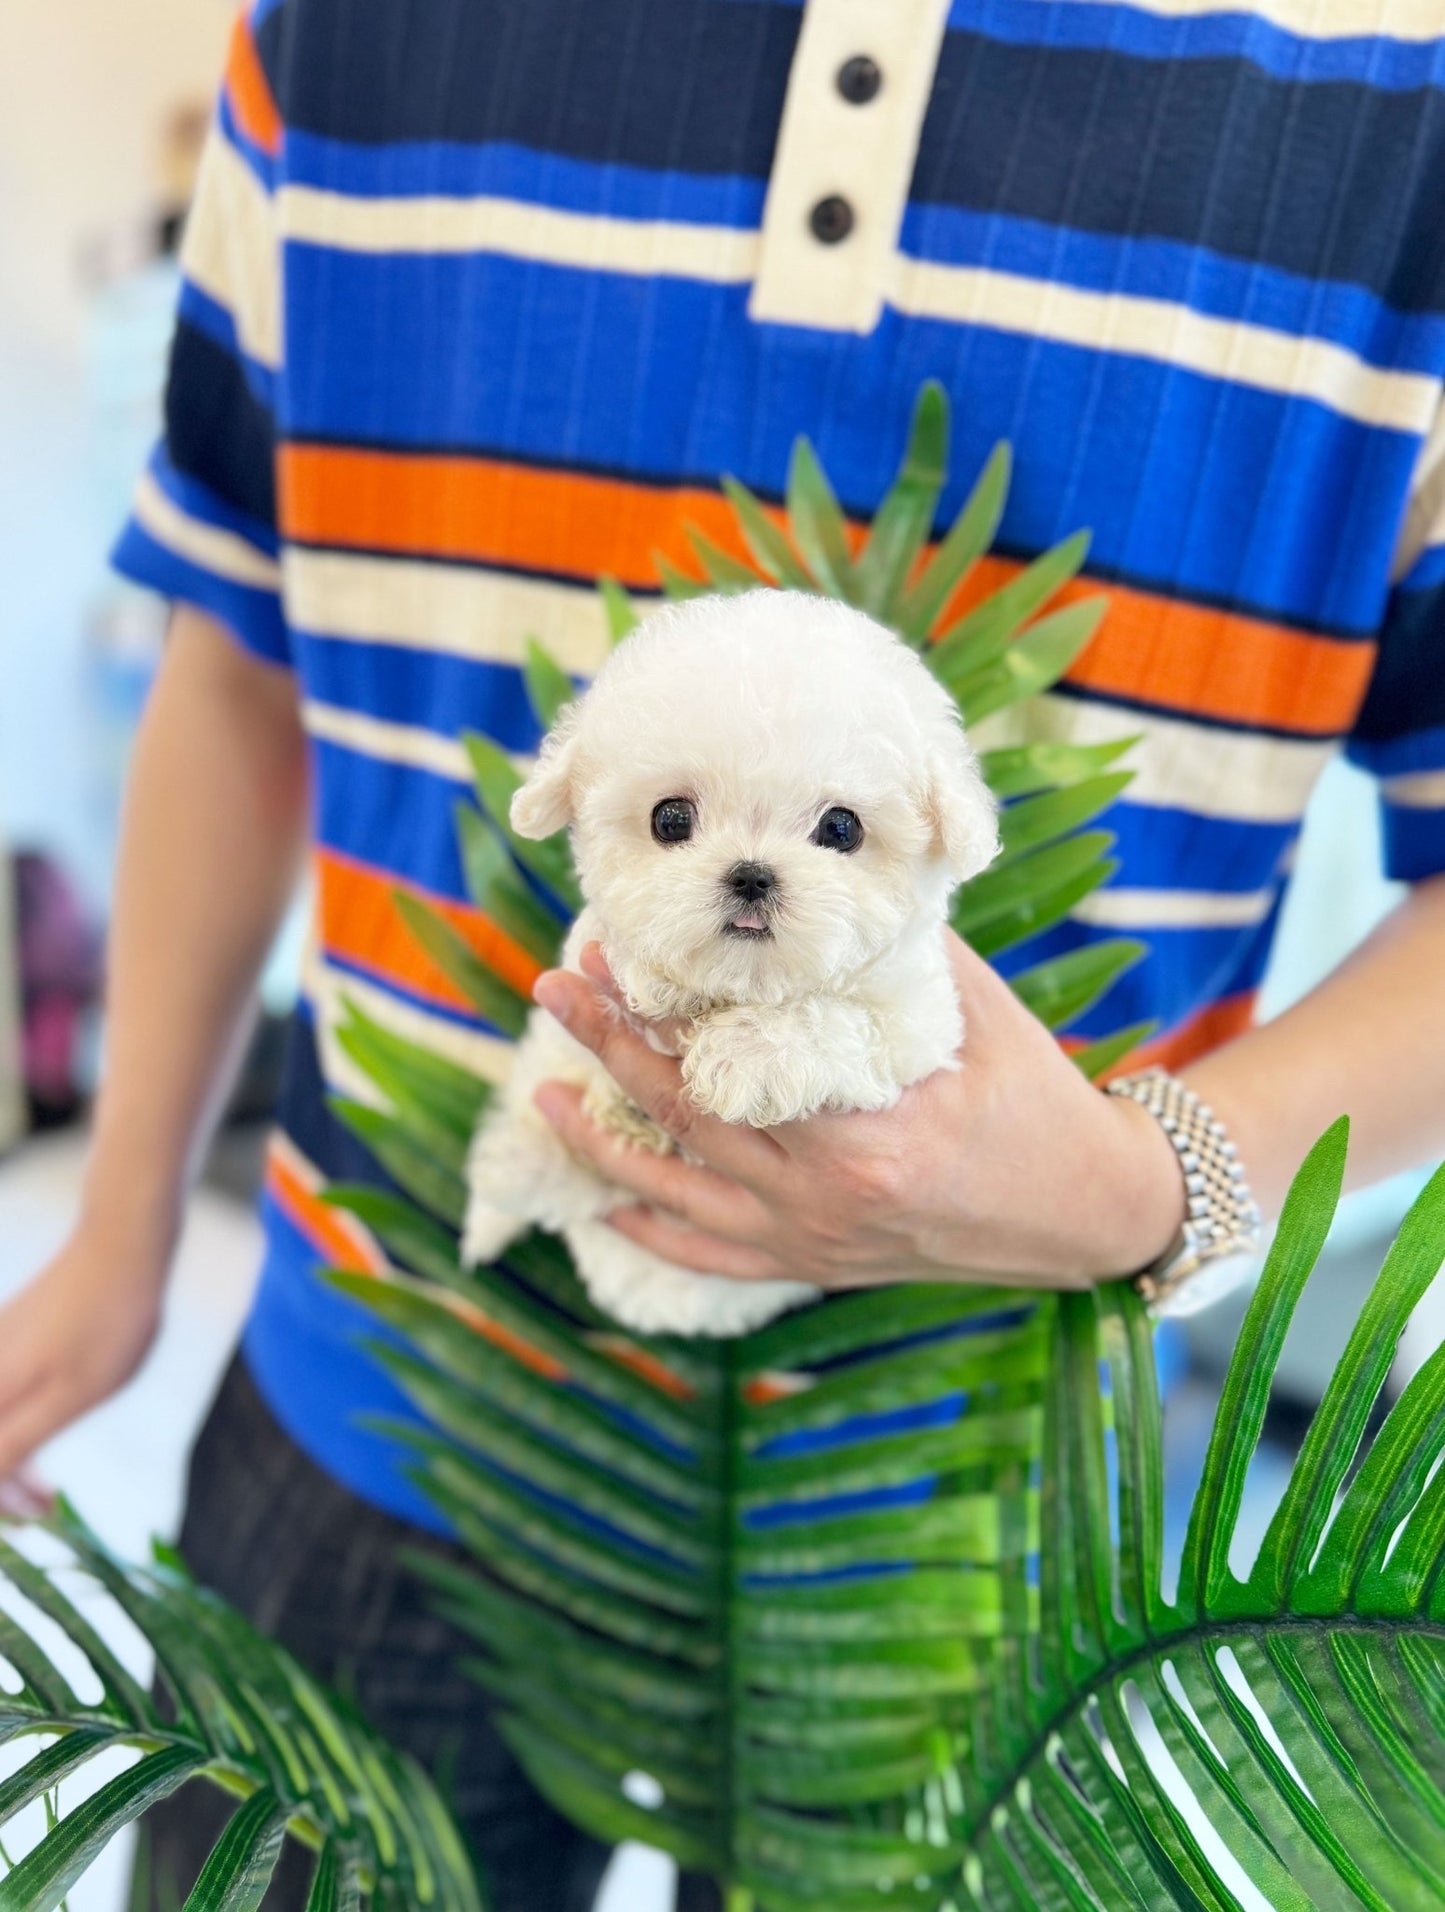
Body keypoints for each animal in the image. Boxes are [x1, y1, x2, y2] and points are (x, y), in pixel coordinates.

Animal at [462, 588, 993, 1338]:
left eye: (841, 828)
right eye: (670, 819)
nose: (750, 875)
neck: (744, 987)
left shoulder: (918, 1023)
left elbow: (842, 1022)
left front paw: (749, 1055)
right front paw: (655, 974)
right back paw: (519, 1165)